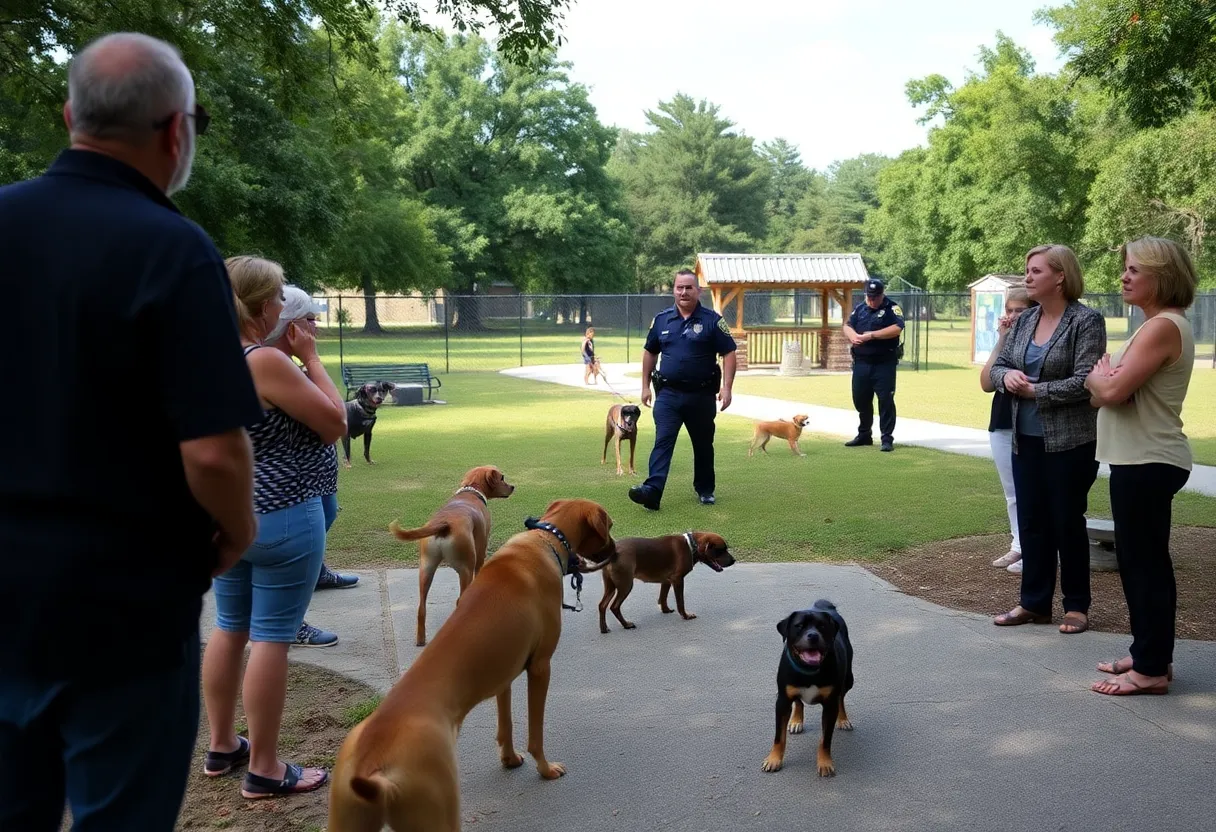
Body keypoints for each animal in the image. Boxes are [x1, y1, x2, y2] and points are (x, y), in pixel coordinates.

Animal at [325, 501, 617, 832]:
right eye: (609, 526)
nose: (616, 549)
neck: (544, 539)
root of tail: (371, 762)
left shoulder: (505, 674)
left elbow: (506, 724)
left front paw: (509, 759)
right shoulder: (541, 667)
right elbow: (535, 733)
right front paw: (545, 769)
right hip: (438, 810)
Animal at [389, 464, 513, 647]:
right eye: (502, 477)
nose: (513, 487)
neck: (471, 491)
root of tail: (443, 523)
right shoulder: (481, 552)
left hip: (426, 568)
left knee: (421, 608)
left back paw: (421, 638)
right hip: (466, 568)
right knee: (461, 599)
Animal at [578, 532, 729, 632]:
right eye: (721, 550)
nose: (732, 560)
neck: (691, 545)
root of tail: (614, 553)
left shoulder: (667, 581)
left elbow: (663, 597)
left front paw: (665, 610)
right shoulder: (678, 580)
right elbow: (680, 602)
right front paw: (686, 616)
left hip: (611, 586)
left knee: (602, 605)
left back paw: (604, 628)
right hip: (625, 585)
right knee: (614, 607)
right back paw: (626, 625)